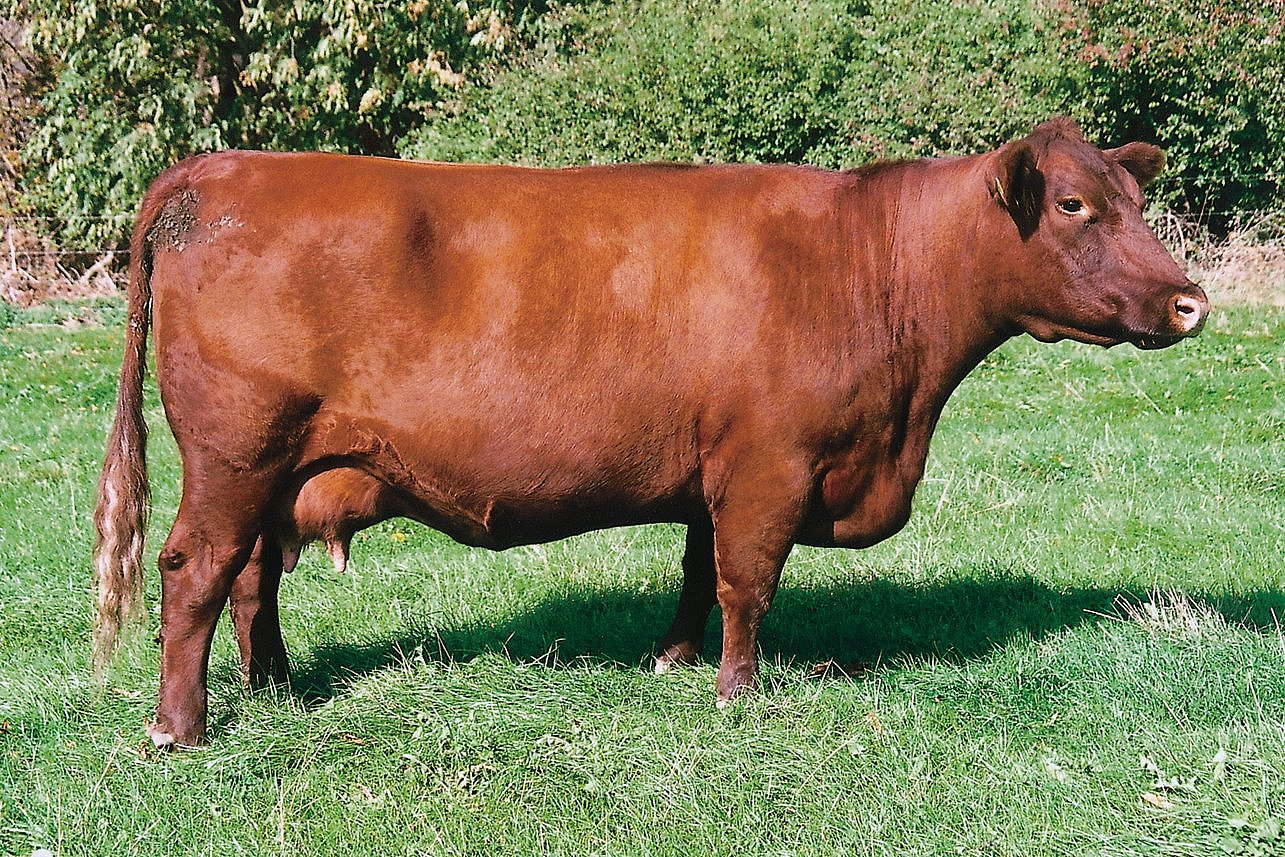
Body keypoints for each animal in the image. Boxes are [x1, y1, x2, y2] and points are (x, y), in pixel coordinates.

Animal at [95, 117, 1207, 745]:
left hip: (275, 466)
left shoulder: (714, 466)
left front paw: (672, 658)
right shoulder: (770, 463)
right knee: (196, 569)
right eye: (1074, 204)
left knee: (252, 576)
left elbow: (695, 567)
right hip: (235, 451)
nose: (1189, 301)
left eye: (1133, 197)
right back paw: (181, 726)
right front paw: (736, 692)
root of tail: (214, 170)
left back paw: (274, 684)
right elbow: (747, 581)